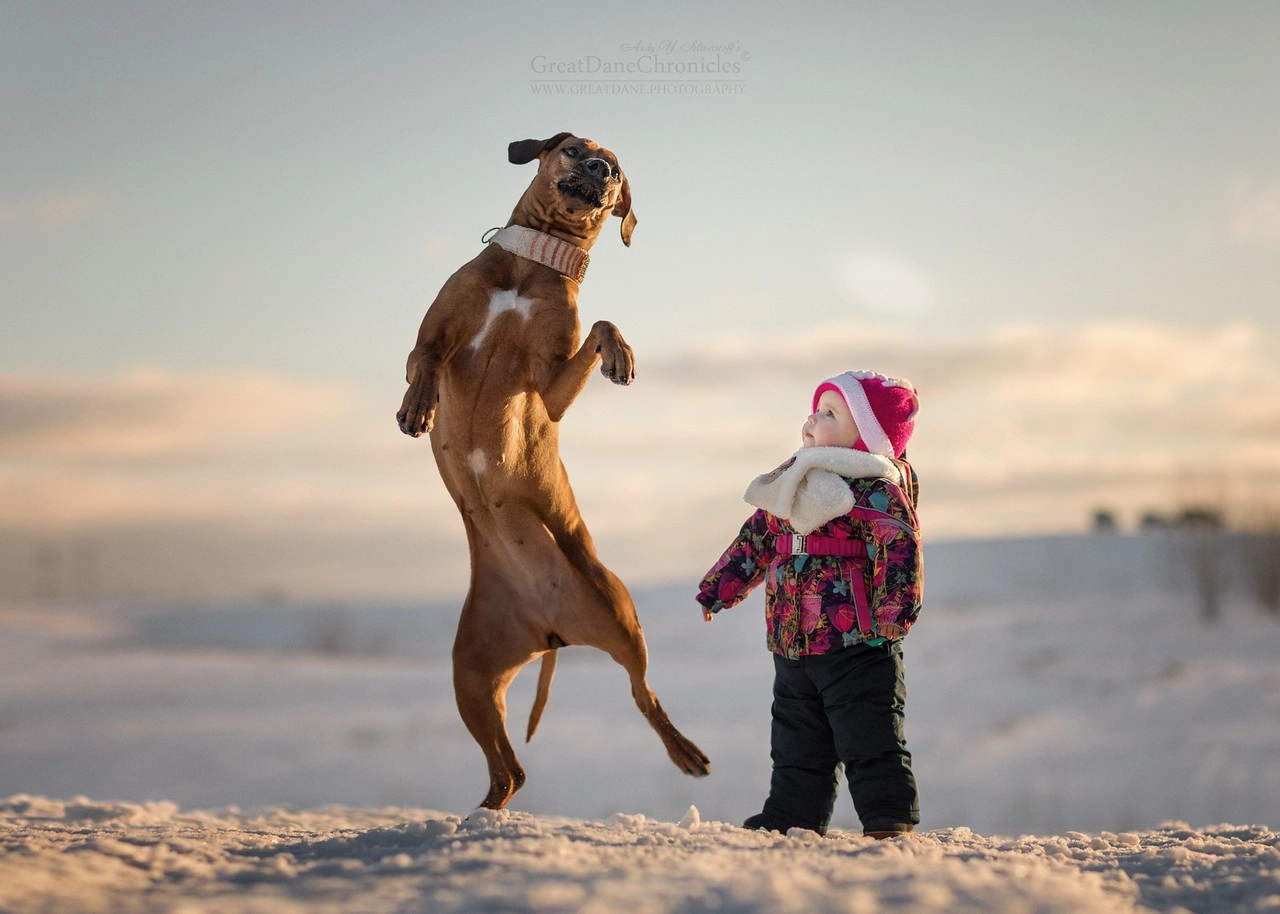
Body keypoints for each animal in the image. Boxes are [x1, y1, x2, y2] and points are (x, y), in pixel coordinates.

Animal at [394, 129, 711, 803]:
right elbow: (427, 358)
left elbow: (602, 324)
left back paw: (685, 752)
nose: (600, 170)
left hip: (619, 617)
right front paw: (419, 408)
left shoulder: (550, 387)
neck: (534, 264)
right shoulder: (426, 340)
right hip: (471, 676)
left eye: (616, 170)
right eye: (577, 148)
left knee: (645, 697)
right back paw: (481, 816)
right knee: (509, 770)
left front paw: (621, 355)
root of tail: (550, 630)